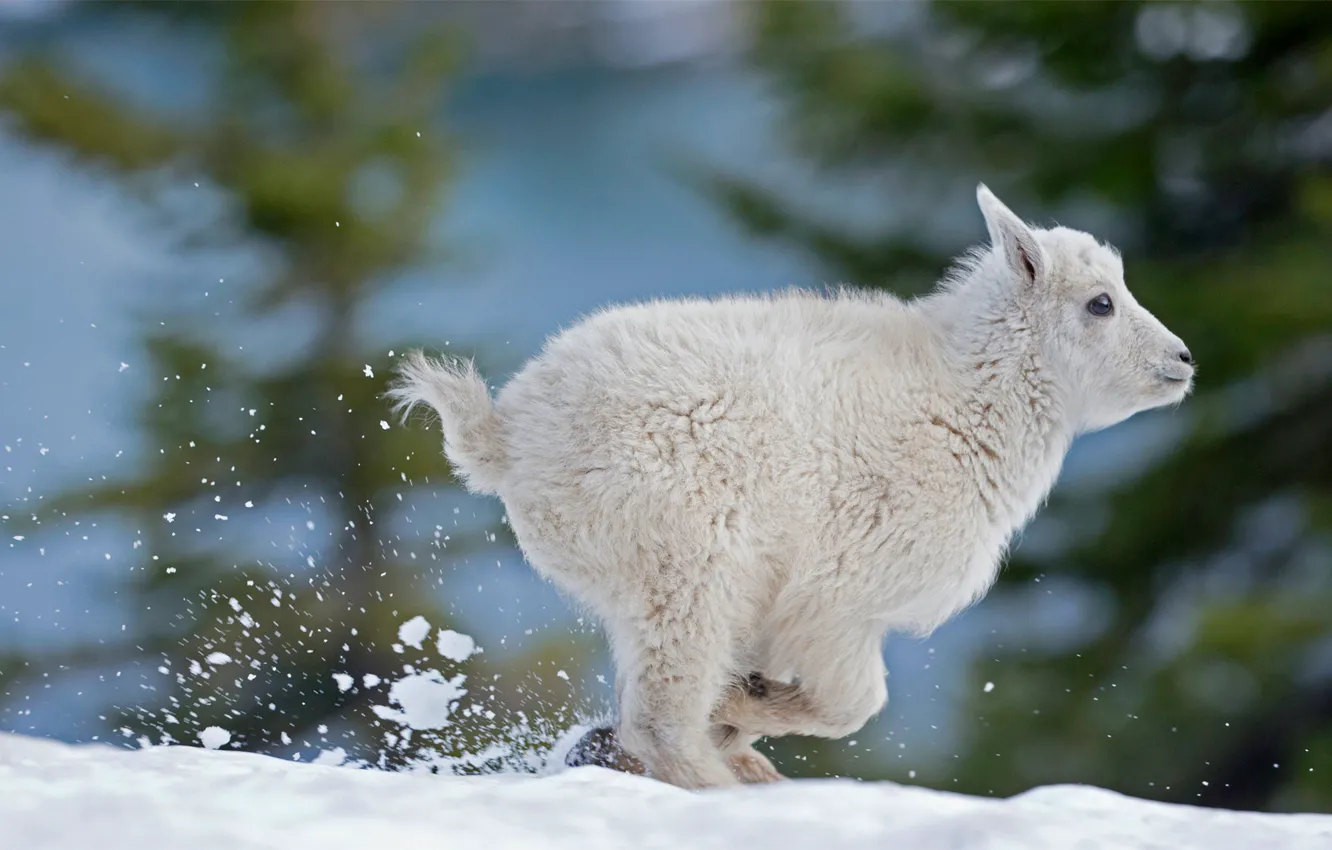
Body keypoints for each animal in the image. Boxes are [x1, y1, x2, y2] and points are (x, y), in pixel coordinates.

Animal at [388, 184, 1195, 790]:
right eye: (1100, 303)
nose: (1183, 359)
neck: (966, 401)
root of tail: (507, 439)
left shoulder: (780, 609)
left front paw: (732, 712)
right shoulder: (838, 598)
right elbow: (854, 705)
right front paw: (742, 709)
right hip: (684, 563)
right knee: (662, 715)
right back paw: (716, 782)